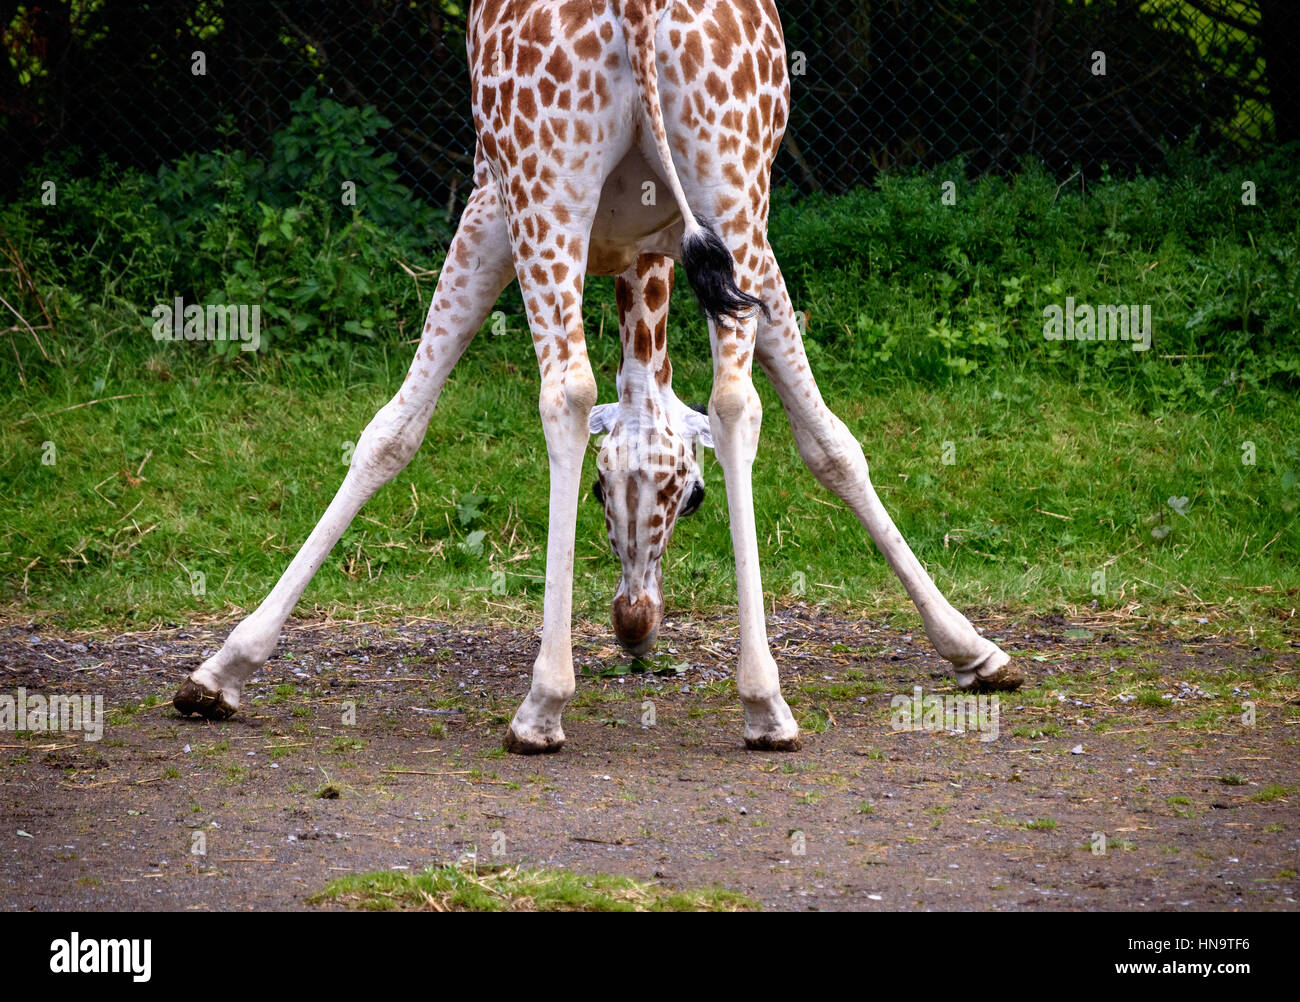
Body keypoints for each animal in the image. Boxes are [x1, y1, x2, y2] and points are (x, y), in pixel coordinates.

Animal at [175, 0, 1024, 753]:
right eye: (605, 492)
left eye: (689, 499)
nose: (634, 627)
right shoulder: (720, 243)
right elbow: (829, 442)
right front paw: (974, 649)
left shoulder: (490, 196)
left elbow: (393, 430)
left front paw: (221, 671)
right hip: (733, 177)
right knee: (736, 401)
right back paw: (765, 703)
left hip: (545, 175)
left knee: (569, 389)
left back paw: (542, 706)